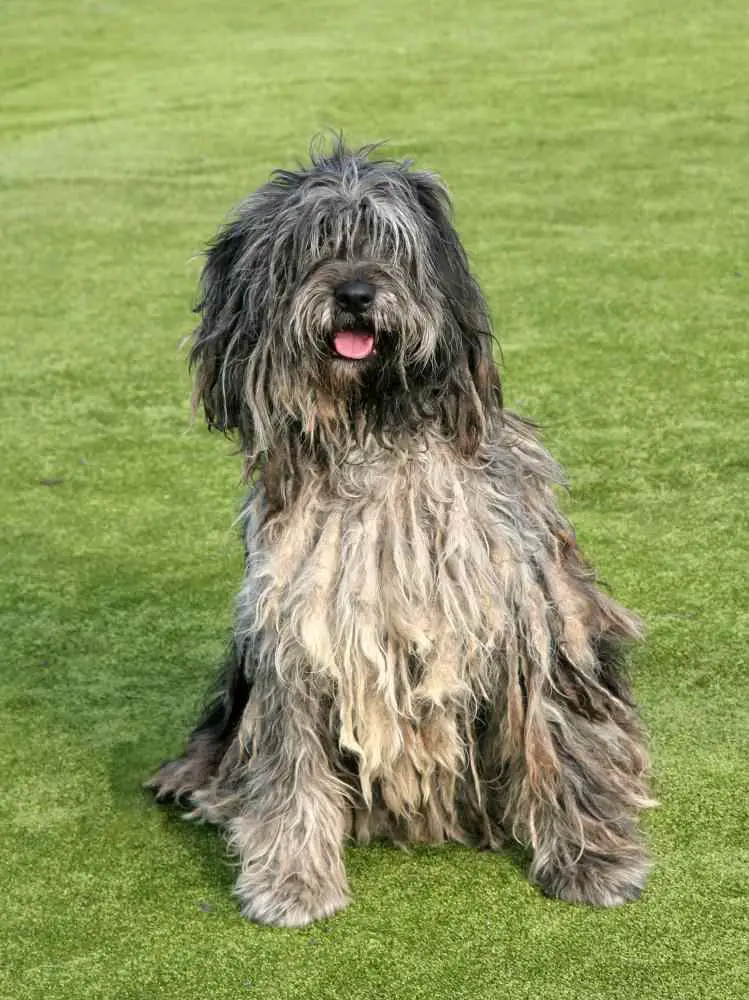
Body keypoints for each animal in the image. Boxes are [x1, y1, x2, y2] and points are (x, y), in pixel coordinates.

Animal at [149, 137, 652, 924]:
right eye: (312, 246)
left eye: (386, 244)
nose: (355, 294)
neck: (375, 426)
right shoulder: (296, 634)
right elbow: (289, 767)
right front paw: (293, 879)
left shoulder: (528, 616)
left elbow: (557, 740)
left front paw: (591, 860)